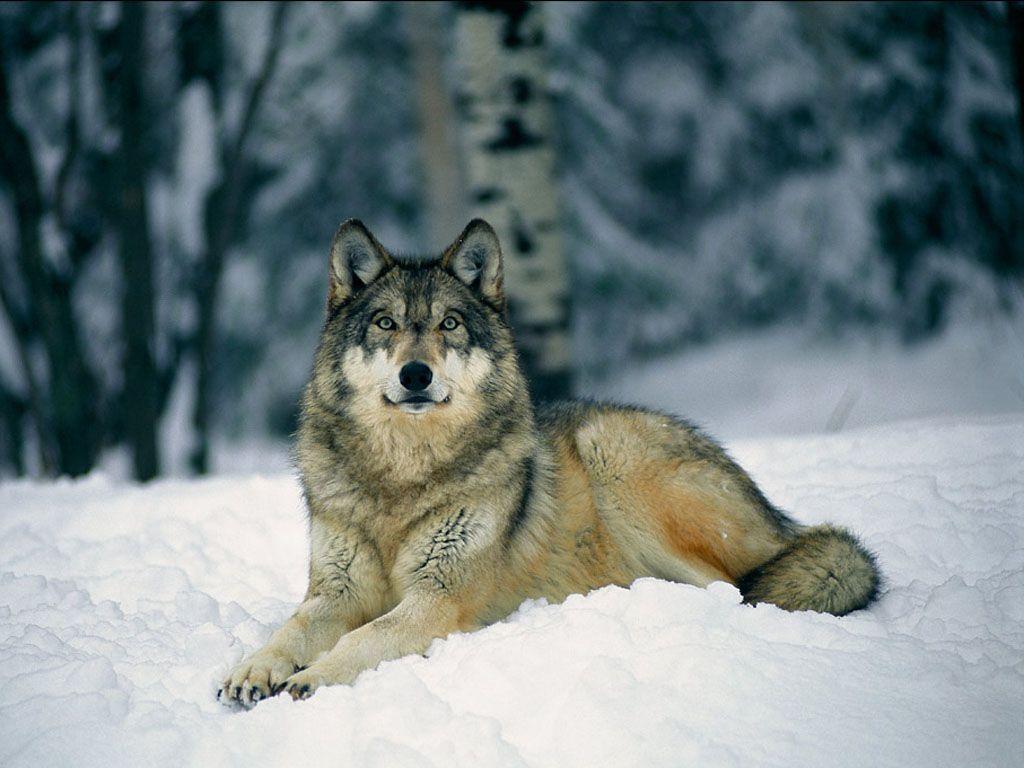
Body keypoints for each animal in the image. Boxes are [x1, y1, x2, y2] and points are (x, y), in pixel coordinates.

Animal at [219, 218, 880, 706]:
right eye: (386, 323)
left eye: (449, 324)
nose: (416, 374)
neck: (403, 476)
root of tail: (779, 518)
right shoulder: (335, 592)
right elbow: (291, 630)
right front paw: (253, 669)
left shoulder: (438, 598)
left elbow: (363, 638)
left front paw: (310, 678)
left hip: (615, 458)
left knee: (733, 588)